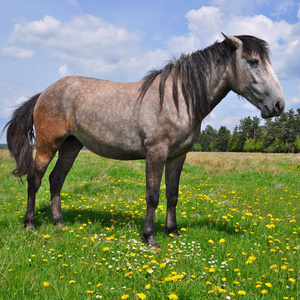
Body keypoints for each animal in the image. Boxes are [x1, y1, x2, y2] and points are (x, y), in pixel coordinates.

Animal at [4, 34, 286, 247]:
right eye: (253, 61)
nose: (279, 104)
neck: (178, 98)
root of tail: (45, 92)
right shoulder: (156, 153)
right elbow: (153, 195)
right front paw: (150, 237)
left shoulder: (177, 156)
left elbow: (172, 194)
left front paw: (172, 232)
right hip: (47, 145)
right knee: (35, 179)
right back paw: (30, 224)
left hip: (71, 145)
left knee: (56, 180)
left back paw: (59, 222)